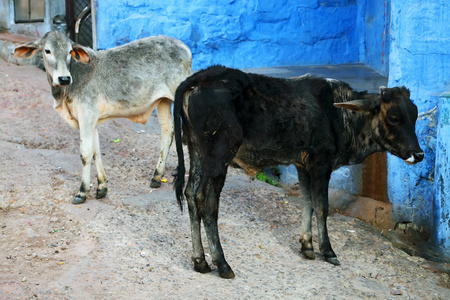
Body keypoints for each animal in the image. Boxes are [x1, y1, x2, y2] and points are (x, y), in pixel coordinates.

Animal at [14, 30, 192, 204]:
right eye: (47, 50)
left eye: (70, 51)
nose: (64, 78)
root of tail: (184, 46)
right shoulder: (91, 121)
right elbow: (96, 152)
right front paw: (101, 187)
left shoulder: (87, 116)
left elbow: (85, 153)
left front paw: (82, 191)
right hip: (163, 101)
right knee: (167, 131)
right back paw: (156, 177)